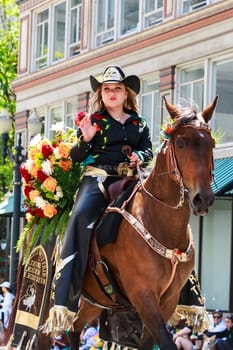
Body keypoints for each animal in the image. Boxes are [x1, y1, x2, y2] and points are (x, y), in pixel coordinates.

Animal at [50, 96, 218, 350]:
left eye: (211, 144)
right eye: (180, 143)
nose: (203, 198)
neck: (159, 221)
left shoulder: (167, 299)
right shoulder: (143, 295)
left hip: (93, 301)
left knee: (75, 326)